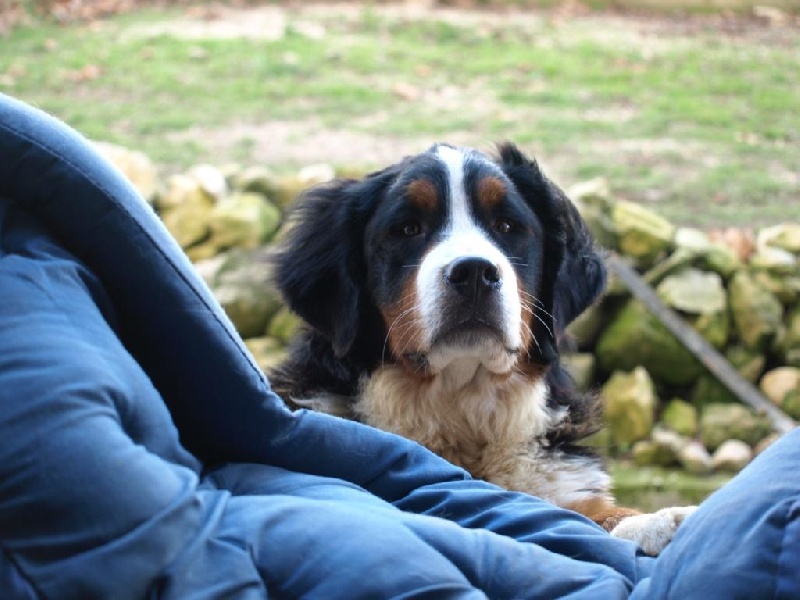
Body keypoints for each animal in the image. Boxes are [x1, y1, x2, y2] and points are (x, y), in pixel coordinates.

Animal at [268, 142, 692, 556]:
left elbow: (597, 515)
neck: (461, 405)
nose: (474, 272)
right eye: (408, 229)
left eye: (506, 226)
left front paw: (660, 522)